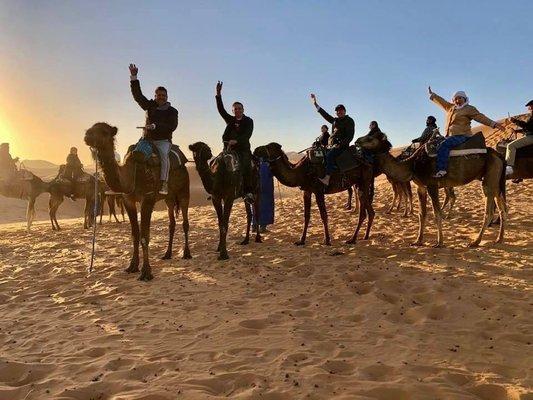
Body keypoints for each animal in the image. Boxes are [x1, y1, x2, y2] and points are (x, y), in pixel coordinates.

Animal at [83, 122, 191, 282]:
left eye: (104, 131)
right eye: (90, 129)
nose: (87, 136)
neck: (130, 175)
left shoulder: (148, 199)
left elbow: (145, 236)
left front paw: (146, 272)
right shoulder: (128, 200)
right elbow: (135, 234)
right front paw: (132, 266)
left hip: (184, 191)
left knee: (185, 222)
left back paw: (187, 253)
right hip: (169, 198)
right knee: (171, 223)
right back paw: (167, 254)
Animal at [356, 130, 504, 247]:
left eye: (370, 138)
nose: (357, 141)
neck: (412, 164)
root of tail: (497, 154)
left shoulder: (432, 185)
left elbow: (436, 213)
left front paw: (439, 242)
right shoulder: (421, 187)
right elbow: (422, 214)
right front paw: (418, 241)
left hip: (490, 178)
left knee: (488, 211)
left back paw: (475, 242)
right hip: (495, 180)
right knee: (502, 209)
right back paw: (499, 239)